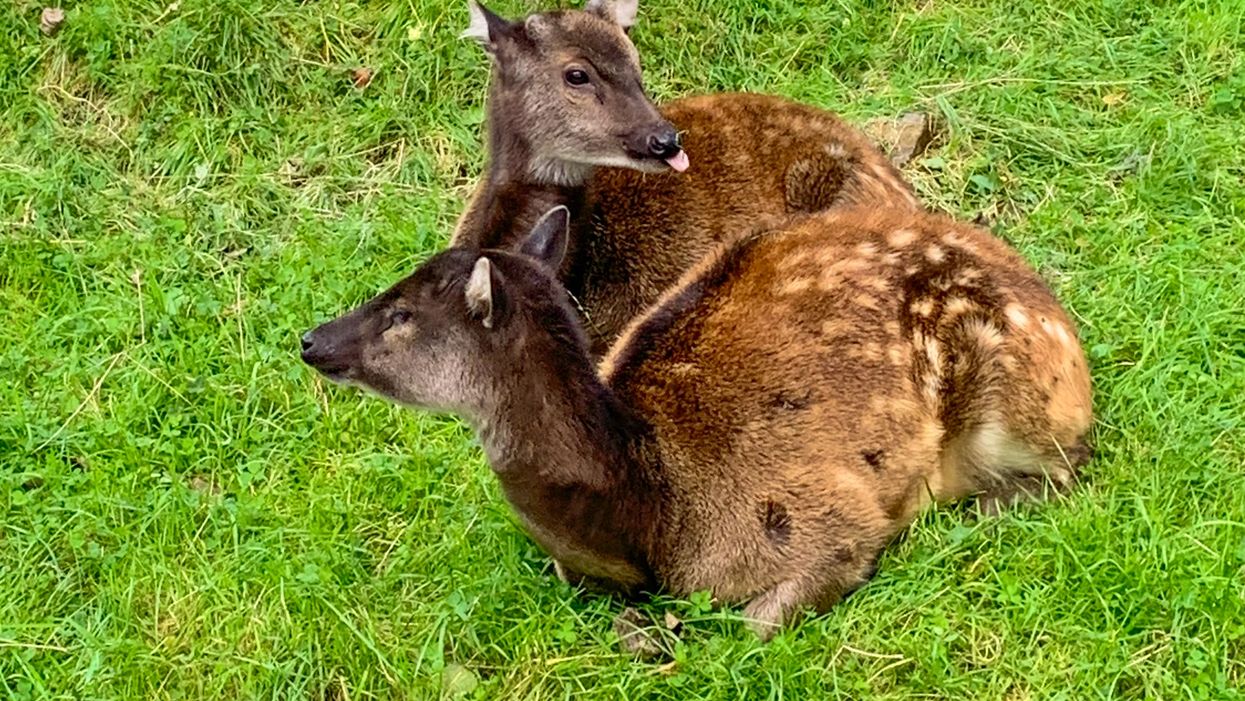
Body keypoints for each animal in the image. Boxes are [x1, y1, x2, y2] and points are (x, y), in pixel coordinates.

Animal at [301, 204, 1093, 640]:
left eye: (401, 313)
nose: (311, 339)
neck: (650, 516)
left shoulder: (823, 519)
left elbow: (751, 623)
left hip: (1016, 396)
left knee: (1067, 469)